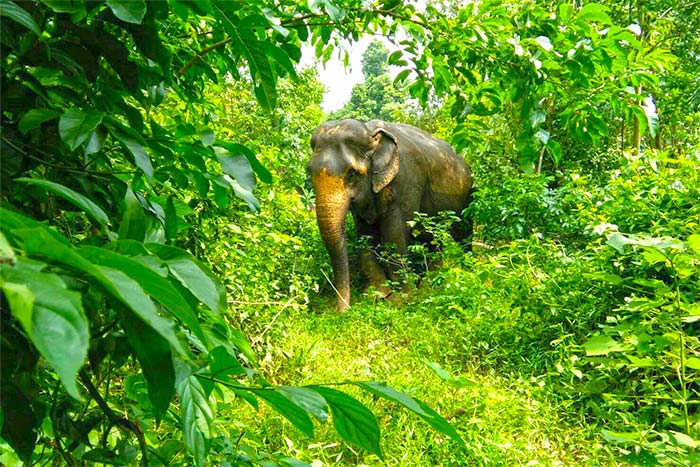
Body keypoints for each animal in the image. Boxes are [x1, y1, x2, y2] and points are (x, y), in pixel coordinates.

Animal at [308, 119, 474, 312]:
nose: (343, 312)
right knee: (432, 239)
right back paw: (430, 284)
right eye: (309, 172)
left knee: (463, 234)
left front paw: (399, 300)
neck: (370, 132)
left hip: (468, 196)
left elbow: (393, 235)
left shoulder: (407, 183)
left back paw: (466, 272)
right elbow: (365, 235)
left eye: (352, 174)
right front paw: (376, 294)